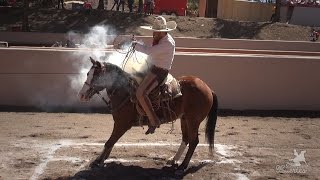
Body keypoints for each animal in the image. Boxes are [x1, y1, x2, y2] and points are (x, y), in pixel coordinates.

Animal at [78, 57, 218, 173]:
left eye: (96, 75)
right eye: (88, 74)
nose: (81, 95)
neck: (124, 92)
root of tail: (208, 88)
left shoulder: (121, 124)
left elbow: (109, 142)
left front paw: (98, 161)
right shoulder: (118, 124)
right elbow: (111, 143)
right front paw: (101, 158)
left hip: (193, 120)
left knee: (194, 141)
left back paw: (182, 166)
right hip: (184, 119)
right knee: (186, 139)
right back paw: (173, 160)